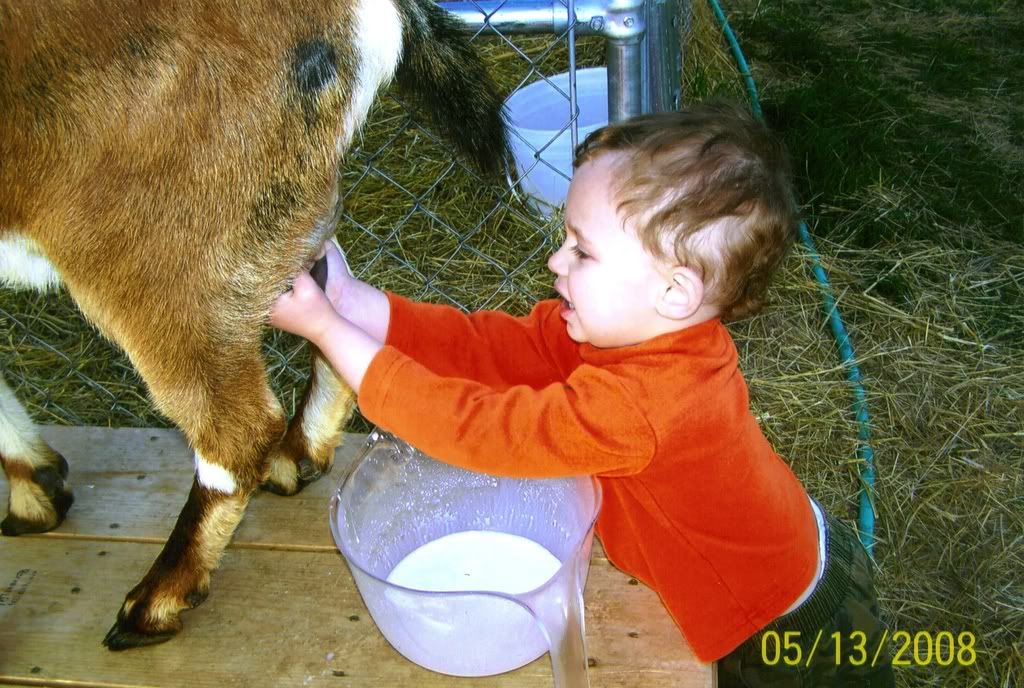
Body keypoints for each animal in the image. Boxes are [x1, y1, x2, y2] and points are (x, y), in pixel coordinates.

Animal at [0, 0, 508, 649]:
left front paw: (32, 491)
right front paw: (35, 481)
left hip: (153, 253)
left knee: (234, 429)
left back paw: (154, 602)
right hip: (274, 217)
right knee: (330, 291)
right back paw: (298, 454)